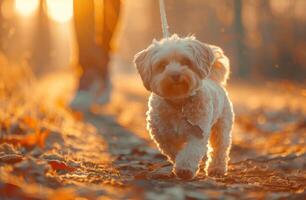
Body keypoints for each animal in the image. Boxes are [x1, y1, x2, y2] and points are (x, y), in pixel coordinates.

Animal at [134, 34, 234, 180]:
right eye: (162, 65)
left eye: (186, 61)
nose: (175, 74)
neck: (179, 103)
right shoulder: (161, 133)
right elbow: (172, 149)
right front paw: (178, 161)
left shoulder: (198, 133)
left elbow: (190, 151)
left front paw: (184, 169)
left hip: (221, 127)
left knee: (220, 148)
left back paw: (217, 169)